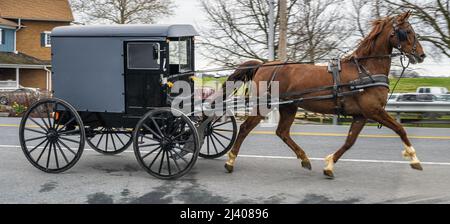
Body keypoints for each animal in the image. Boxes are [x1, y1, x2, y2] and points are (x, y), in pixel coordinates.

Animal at [223, 11, 428, 178]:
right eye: (408, 31)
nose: (421, 55)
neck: (365, 70)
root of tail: (263, 64)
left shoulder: (361, 115)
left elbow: (349, 142)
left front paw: (329, 165)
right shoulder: (374, 111)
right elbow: (400, 129)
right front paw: (414, 158)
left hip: (289, 106)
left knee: (282, 132)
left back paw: (304, 159)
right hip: (263, 106)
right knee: (245, 129)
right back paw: (230, 160)